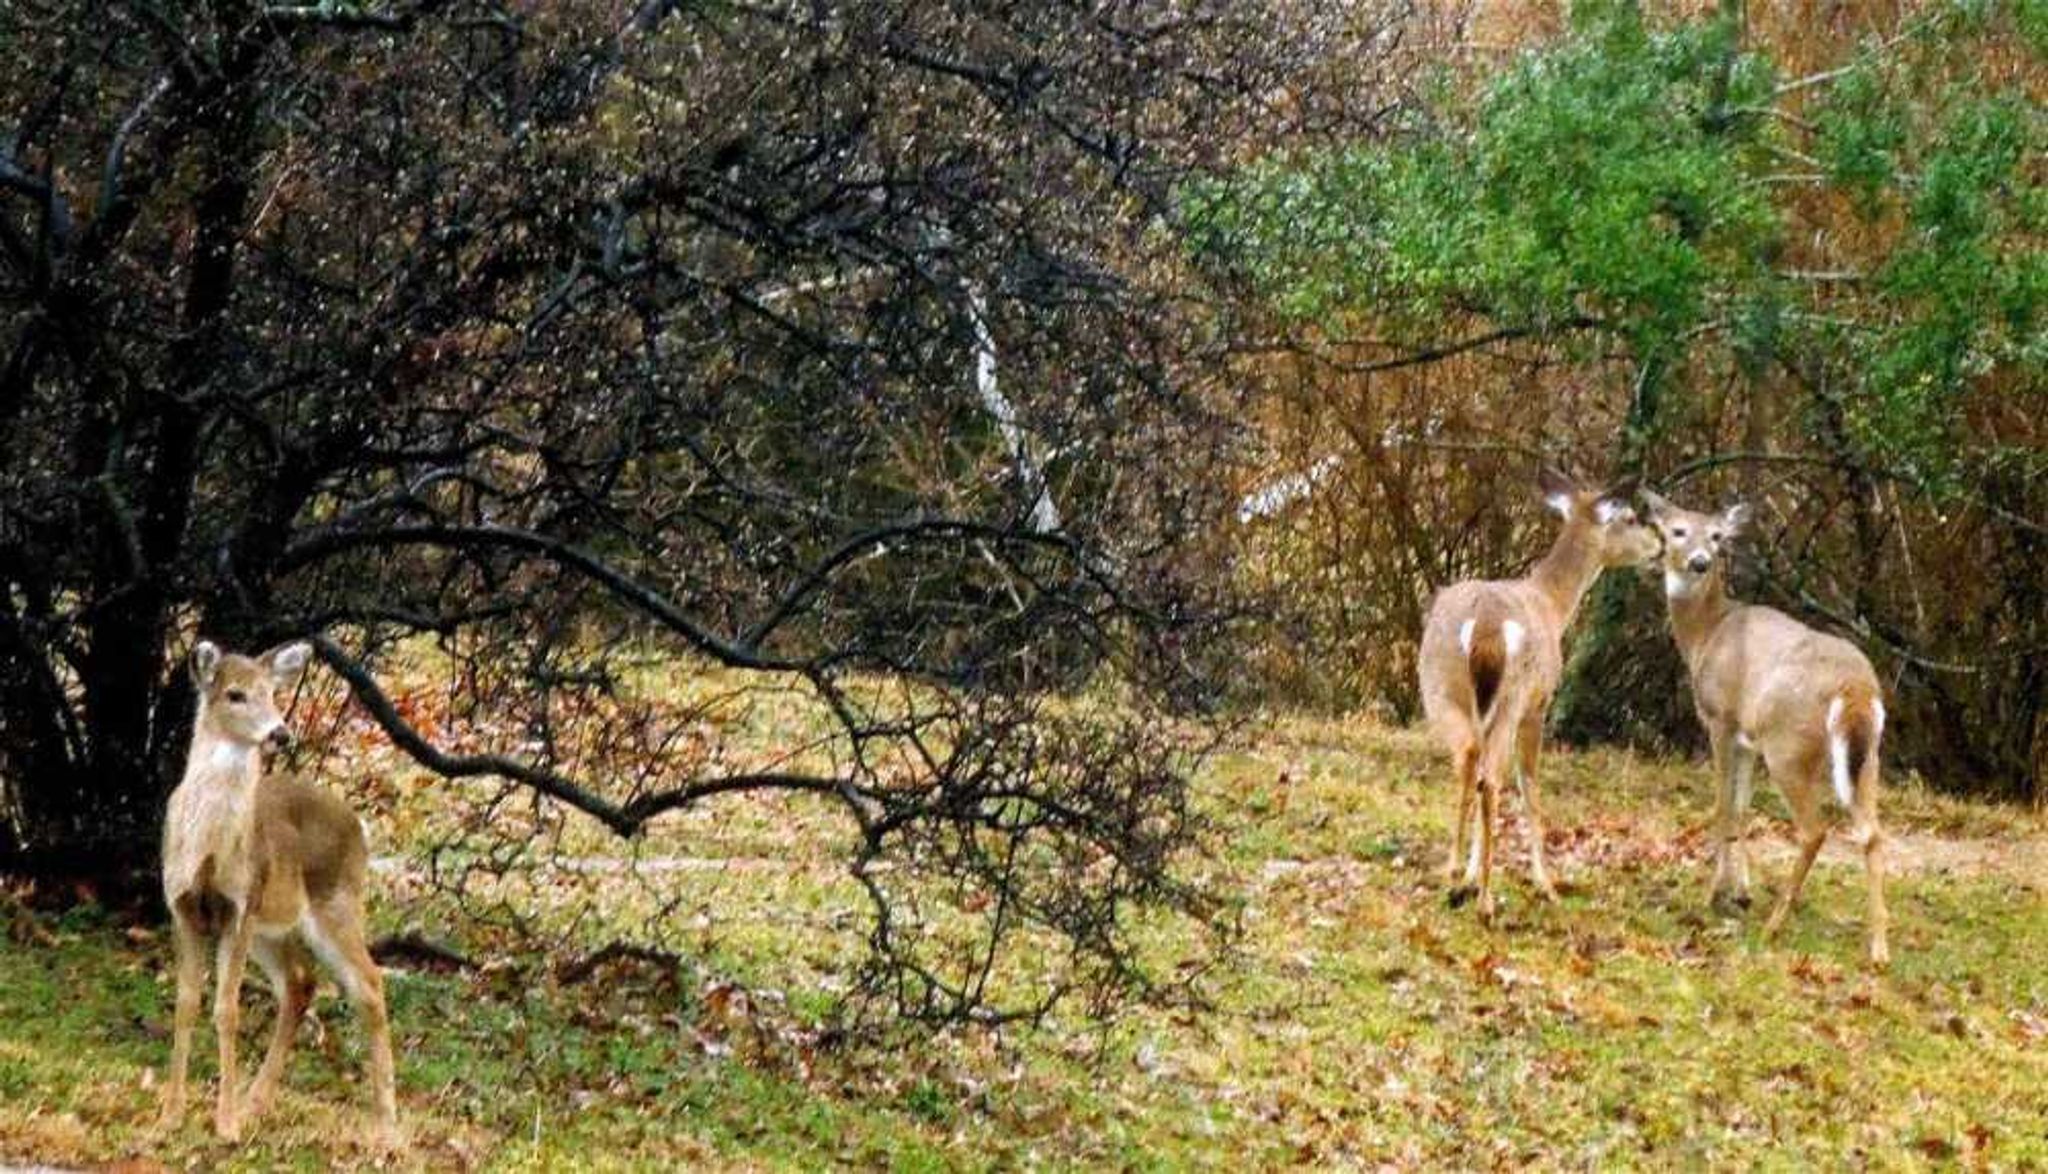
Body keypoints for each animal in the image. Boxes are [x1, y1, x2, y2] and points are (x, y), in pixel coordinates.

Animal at [159, 639, 399, 1147]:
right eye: (235, 694)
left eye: (273, 693)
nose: (280, 733)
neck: (210, 851)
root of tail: (360, 826)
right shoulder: (182, 906)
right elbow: (186, 1003)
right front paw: (170, 1116)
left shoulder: (239, 907)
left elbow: (226, 1010)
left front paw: (225, 1125)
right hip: (272, 929)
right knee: (300, 983)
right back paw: (256, 1100)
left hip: (334, 902)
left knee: (369, 983)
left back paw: (387, 1127)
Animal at [1417, 467, 1671, 913]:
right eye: (1630, 518)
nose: (1660, 544)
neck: (1553, 605)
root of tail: (1485, 626)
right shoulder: (1540, 702)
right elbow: (1530, 784)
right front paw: (1543, 882)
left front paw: (1469, 875)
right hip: (1513, 694)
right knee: (1491, 776)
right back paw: (1486, 901)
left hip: (1442, 686)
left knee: (1468, 760)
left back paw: (1452, 876)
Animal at [1638, 489, 1892, 967]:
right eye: (1677, 530)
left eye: (1717, 536)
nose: (1699, 562)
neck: (1706, 636)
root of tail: (1856, 688)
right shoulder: (1747, 739)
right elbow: (1741, 807)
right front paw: (1740, 892)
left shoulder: (1720, 718)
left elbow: (1722, 803)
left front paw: (1714, 894)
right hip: (1867, 756)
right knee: (1871, 833)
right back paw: (1878, 948)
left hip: (1789, 747)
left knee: (1814, 830)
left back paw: (1775, 924)